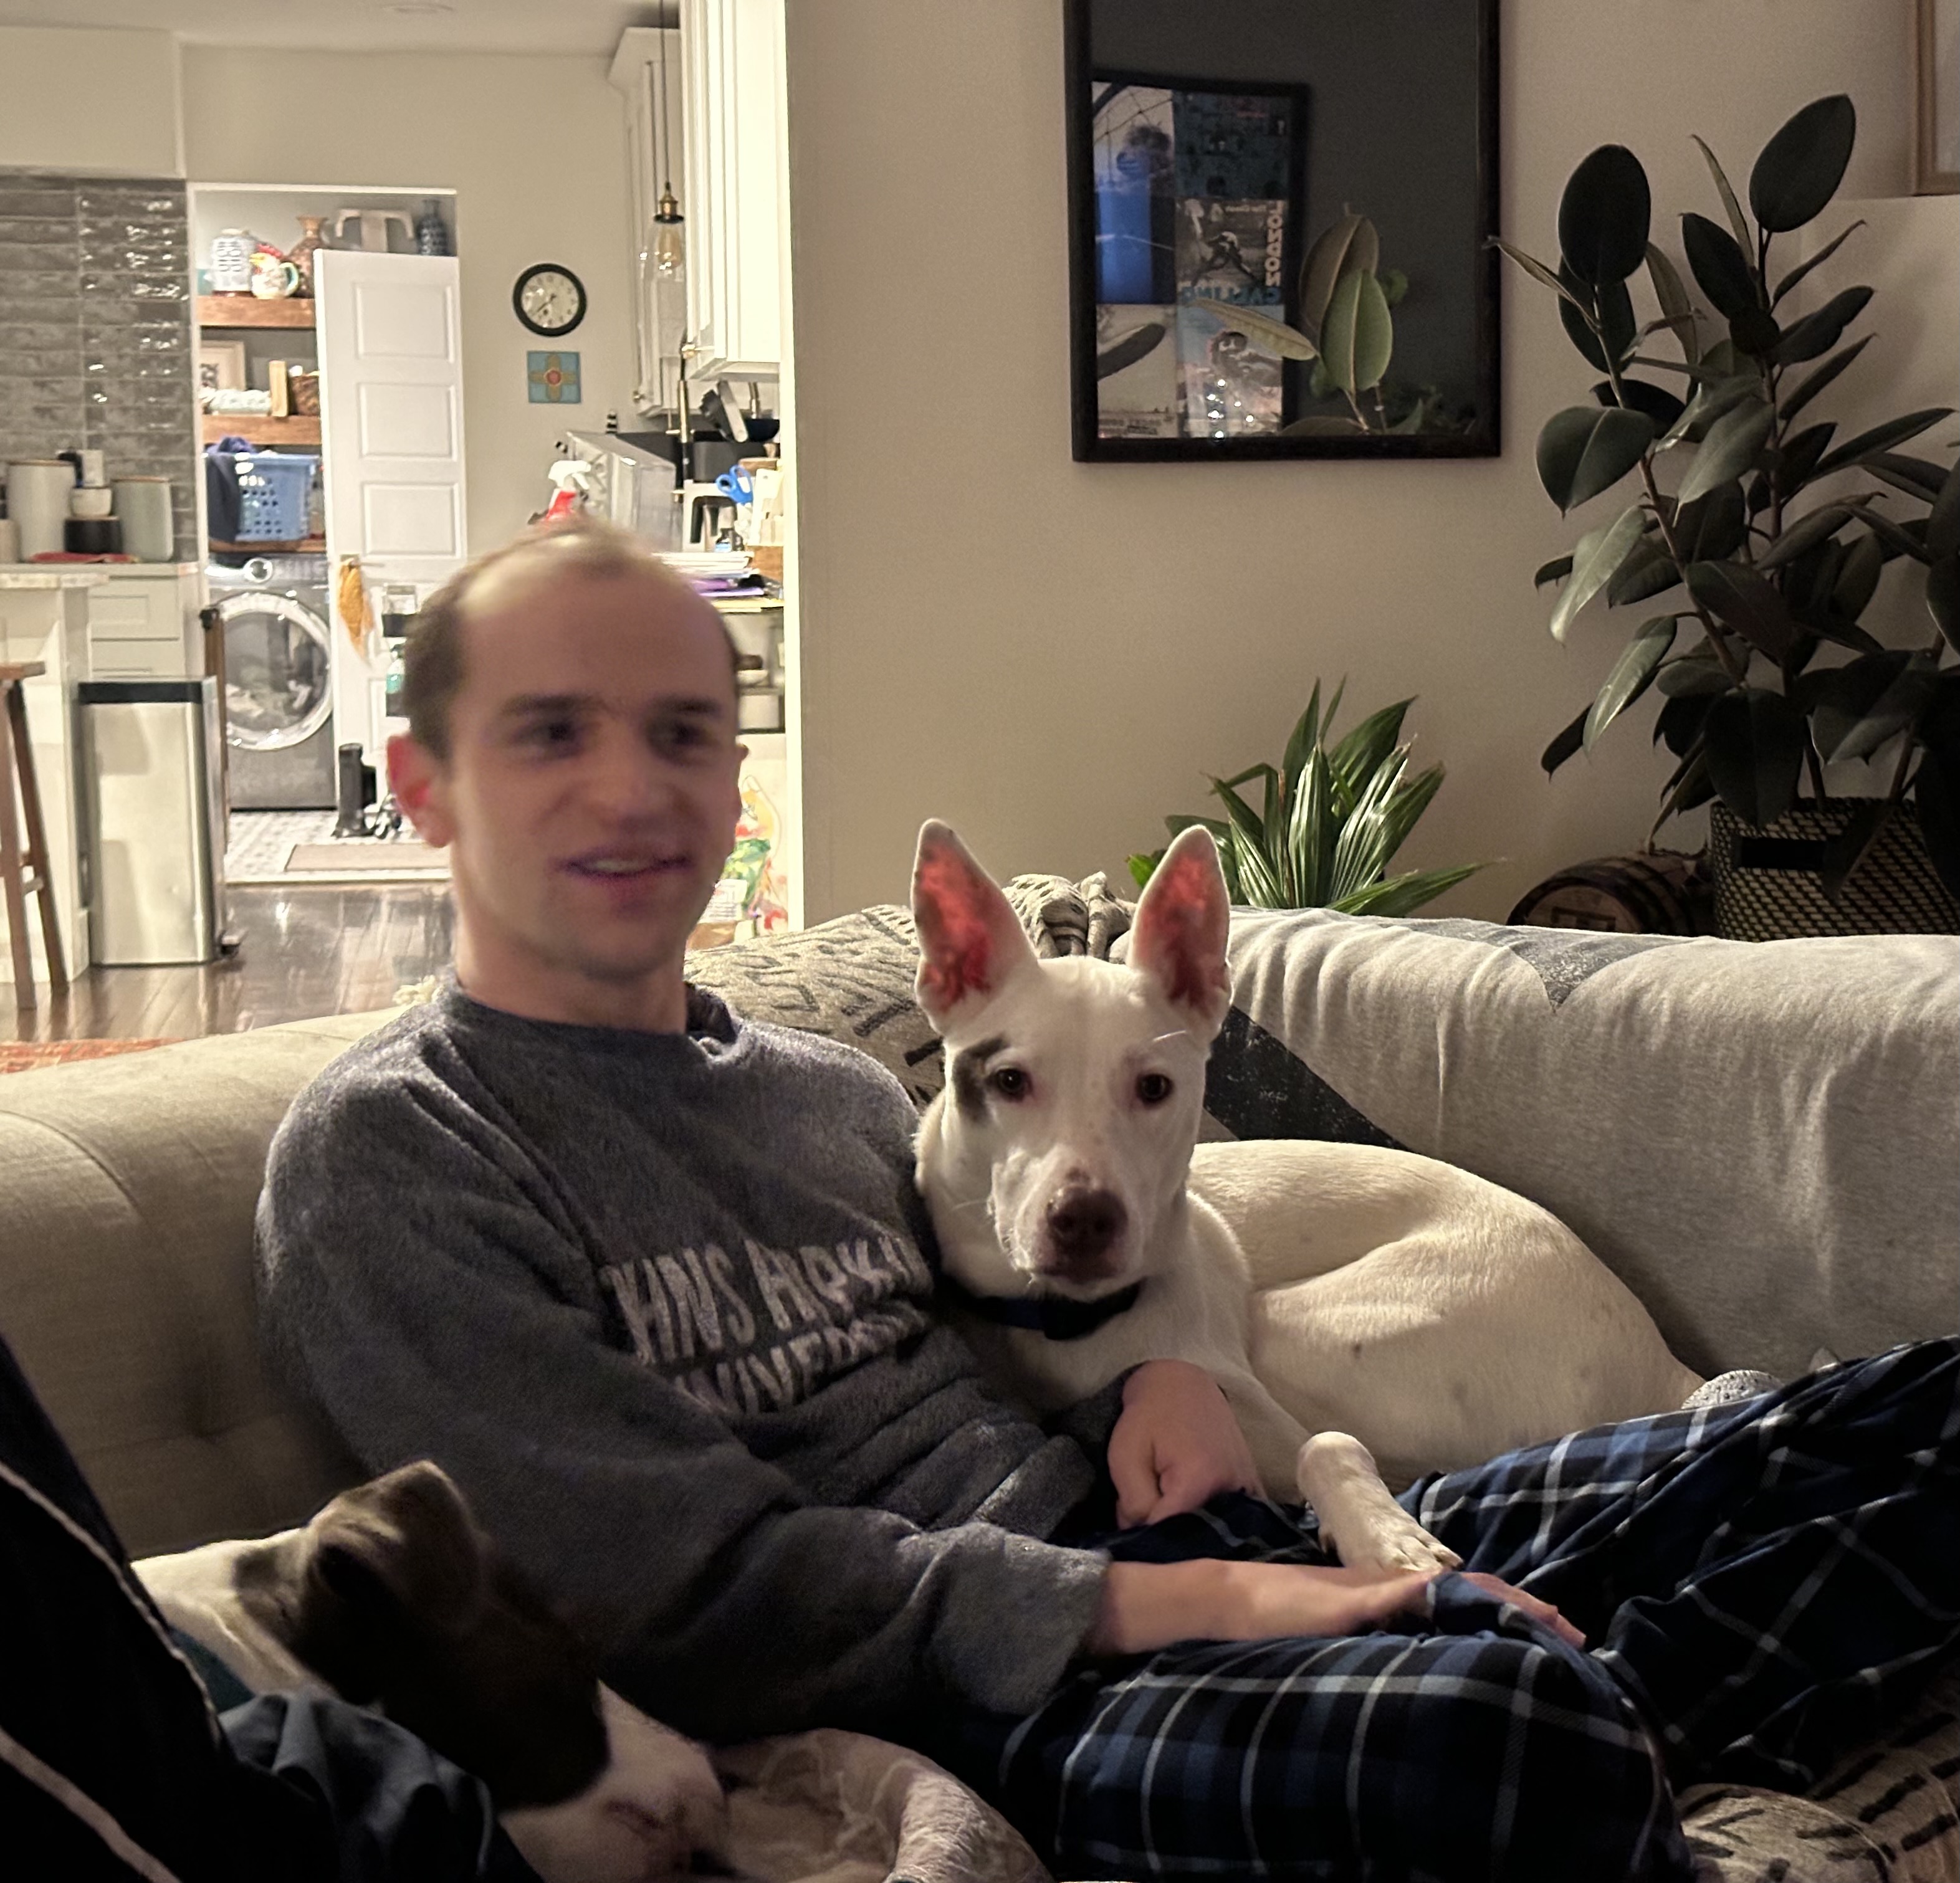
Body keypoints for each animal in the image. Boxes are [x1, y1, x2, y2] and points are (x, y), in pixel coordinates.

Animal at [911, 819, 1705, 1574]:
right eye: (1009, 1081)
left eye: (1154, 1087)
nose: (1085, 1220)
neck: (1068, 1327)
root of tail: (1657, 1356)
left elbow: (1326, 1443)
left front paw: (1383, 1535)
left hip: (1300, 1325)